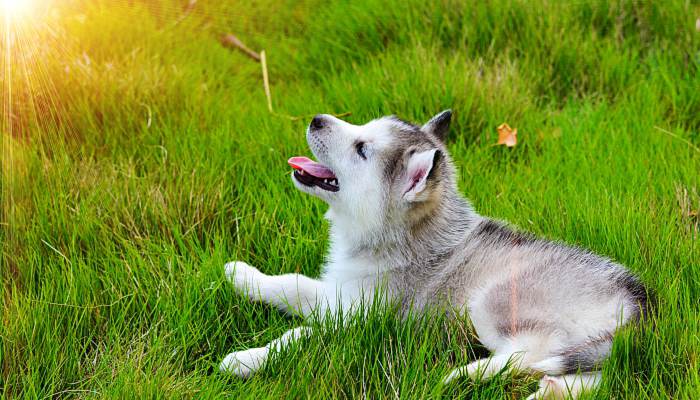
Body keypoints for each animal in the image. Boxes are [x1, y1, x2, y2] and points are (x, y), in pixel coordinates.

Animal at [220, 111, 652, 398]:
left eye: (362, 149)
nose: (316, 118)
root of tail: (637, 300)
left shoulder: (358, 321)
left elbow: (299, 335)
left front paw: (246, 359)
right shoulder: (339, 293)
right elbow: (291, 284)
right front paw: (241, 275)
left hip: (492, 302)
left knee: (528, 351)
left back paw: (464, 375)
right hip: (598, 350)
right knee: (604, 375)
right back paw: (553, 391)